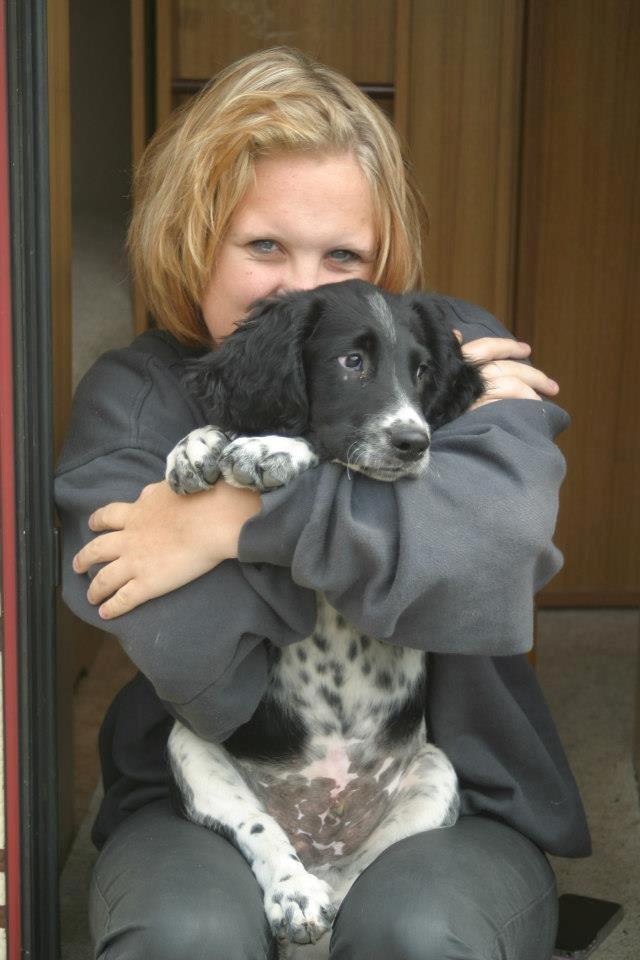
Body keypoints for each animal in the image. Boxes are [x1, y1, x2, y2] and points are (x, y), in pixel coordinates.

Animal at [162, 280, 482, 960]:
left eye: (422, 371)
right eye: (351, 362)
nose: (415, 443)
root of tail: (319, 849)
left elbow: (335, 453)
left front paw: (271, 446)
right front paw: (197, 444)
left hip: (435, 775)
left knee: (355, 880)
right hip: (191, 747)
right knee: (262, 832)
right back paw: (294, 894)